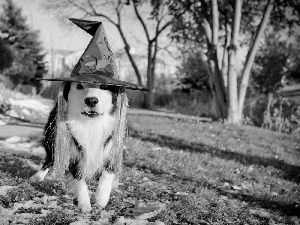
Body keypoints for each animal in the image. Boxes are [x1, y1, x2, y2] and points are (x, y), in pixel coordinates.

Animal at [31, 81, 123, 212]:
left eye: (104, 86)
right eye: (79, 86)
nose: (91, 100)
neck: (91, 124)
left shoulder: (111, 147)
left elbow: (107, 174)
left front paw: (101, 199)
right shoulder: (73, 154)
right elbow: (79, 179)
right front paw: (84, 204)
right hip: (52, 139)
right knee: (50, 159)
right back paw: (38, 176)